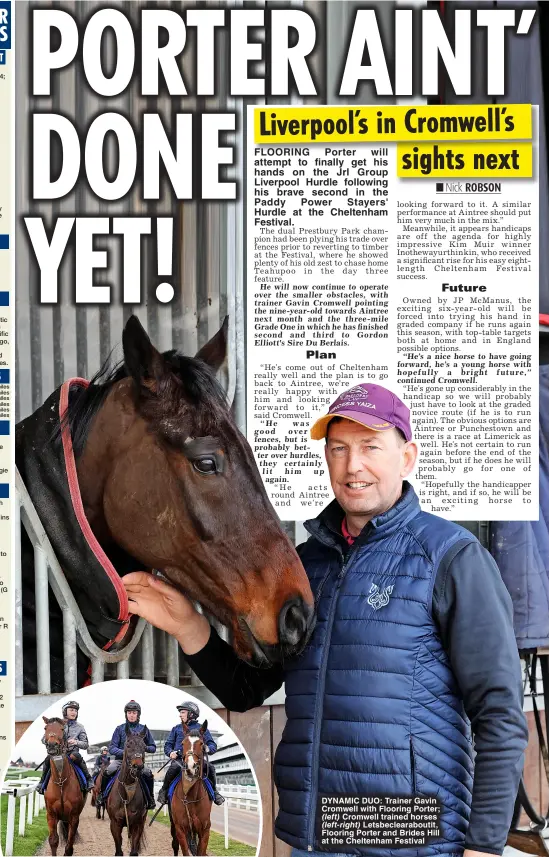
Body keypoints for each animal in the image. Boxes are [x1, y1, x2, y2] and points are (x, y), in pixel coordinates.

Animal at [42, 716, 86, 856]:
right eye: (46, 728)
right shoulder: (51, 815)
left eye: (62, 729)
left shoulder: (74, 817)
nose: (52, 745)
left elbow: (69, 846)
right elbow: (53, 841)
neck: (61, 782)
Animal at [106, 724, 149, 856]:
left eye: (144, 746)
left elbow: (134, 851)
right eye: (128, 745)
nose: (138, 766)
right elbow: (118, 850)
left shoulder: (137, 824)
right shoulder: (115, 824)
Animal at [168, 720, 211, 852]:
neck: (191, 797)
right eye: (183, 743)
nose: (190, 767)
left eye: (201, 743)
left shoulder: (204, 831)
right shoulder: (180, 830)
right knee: (174, 845)